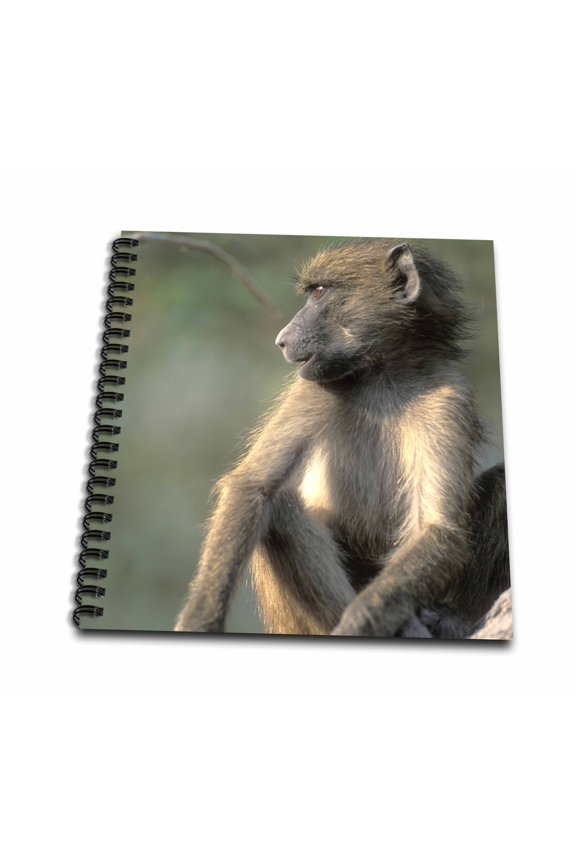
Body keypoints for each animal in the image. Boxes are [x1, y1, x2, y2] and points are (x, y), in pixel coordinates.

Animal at [174, 239, 510, 638]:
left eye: (320, 293)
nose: (282, 340)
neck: (383, 374)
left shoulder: (448, 400)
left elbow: (437, 528)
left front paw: (362, 617)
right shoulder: (314, 384)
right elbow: (253, 486)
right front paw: (200, 617)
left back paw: (445, 621)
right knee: (281, 510)